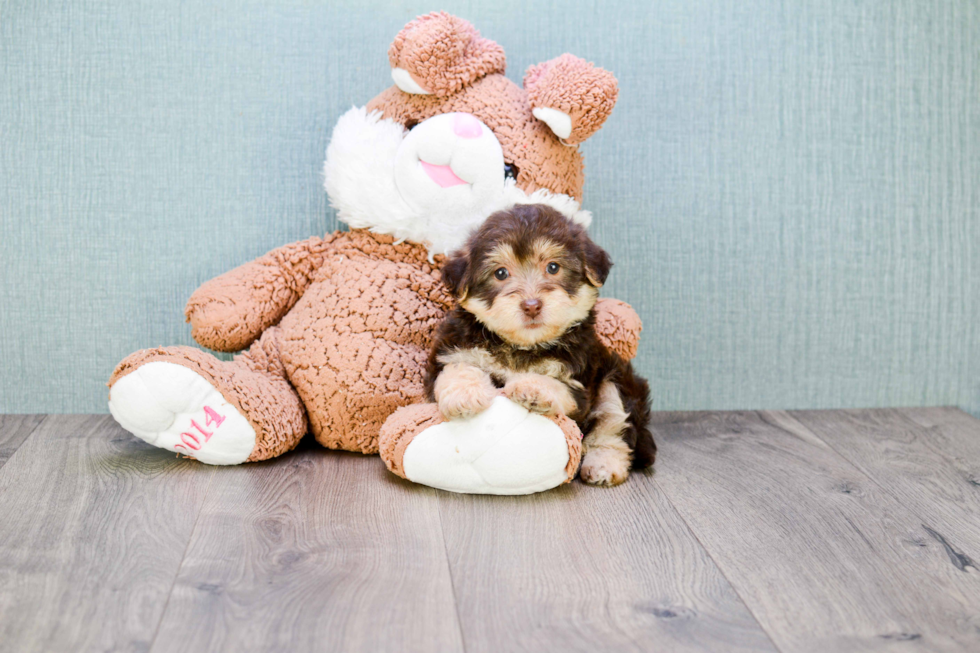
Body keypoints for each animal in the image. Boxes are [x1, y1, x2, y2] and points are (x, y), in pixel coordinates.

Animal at [424, 204, 656, 484]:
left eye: (553, 267)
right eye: (500, 273)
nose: (531, 305)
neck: (522, 346)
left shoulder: (579, 380)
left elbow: (557, 385)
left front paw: (532, 387)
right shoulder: (451, 351)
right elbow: (457, 369)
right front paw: (464, 395)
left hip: (617, 378)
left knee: (614, 424)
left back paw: (604, 465)